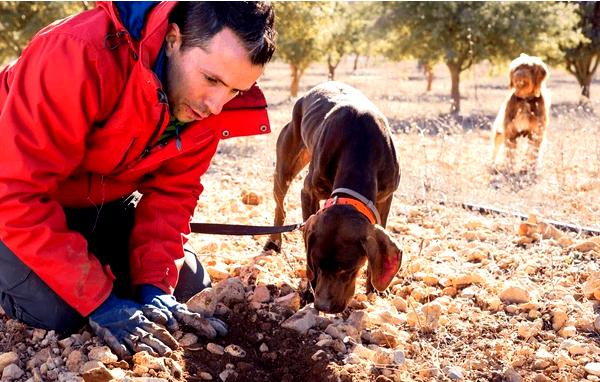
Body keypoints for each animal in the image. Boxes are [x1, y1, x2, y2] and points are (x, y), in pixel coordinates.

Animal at [264, 80, 400, 314]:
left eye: (348, 269)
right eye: (317, 264)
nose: (323, 306)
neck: (360, 146)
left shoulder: (385, 198)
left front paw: (374, 289)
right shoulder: (307, 193)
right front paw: (309, 291)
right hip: (284, 169)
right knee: (279, 207)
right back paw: (273, 241)